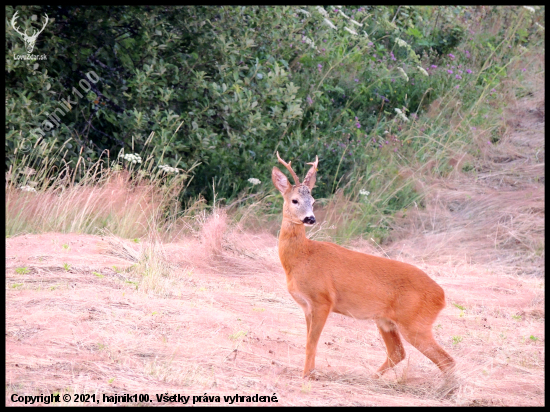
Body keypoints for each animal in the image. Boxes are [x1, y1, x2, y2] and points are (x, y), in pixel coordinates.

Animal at [272, 153, 458, 378]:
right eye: (295, 200)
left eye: (313, 201)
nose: (310, 218)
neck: (302, 257)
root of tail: (441, 296)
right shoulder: (307, 307)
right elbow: (309, 341)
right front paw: (310, 372)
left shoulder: (323, 300)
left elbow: (311, 343)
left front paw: (307, 375)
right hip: (386, 321)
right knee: (398, 352)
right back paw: (372, 377)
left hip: (415, 323)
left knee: (446, 360)